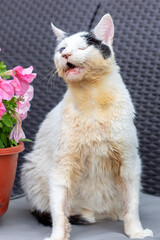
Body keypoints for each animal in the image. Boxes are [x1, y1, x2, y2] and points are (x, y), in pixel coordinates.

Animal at [20, 13, 153, 240]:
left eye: (83, 47)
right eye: (62, 49)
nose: (66, 55)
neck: (91, 98)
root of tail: (98, 213)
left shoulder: (129, 162)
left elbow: (132, 204)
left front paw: (135, 231)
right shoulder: (62, 166)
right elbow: (58, 210)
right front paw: (58, 235)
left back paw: (116, 214)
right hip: (30, 169)